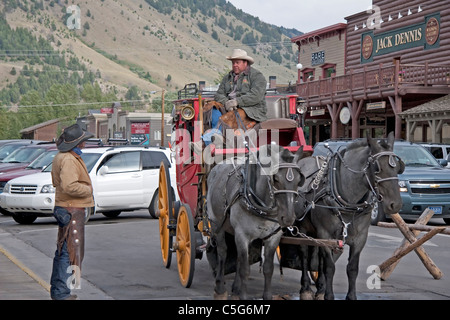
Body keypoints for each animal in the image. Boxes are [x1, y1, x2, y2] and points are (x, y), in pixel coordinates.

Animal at [292, 132, 404, 300]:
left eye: (397, 167)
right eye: (378, 168)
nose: (395, 204)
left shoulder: (359, 238)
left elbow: (351, 268)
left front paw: (348, 295)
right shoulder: (326, 234)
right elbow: (329, 267)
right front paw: (328, 295)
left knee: (318, 258)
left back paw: (320, 287)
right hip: (302, 229)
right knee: (304, 255)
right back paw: (305, 288)